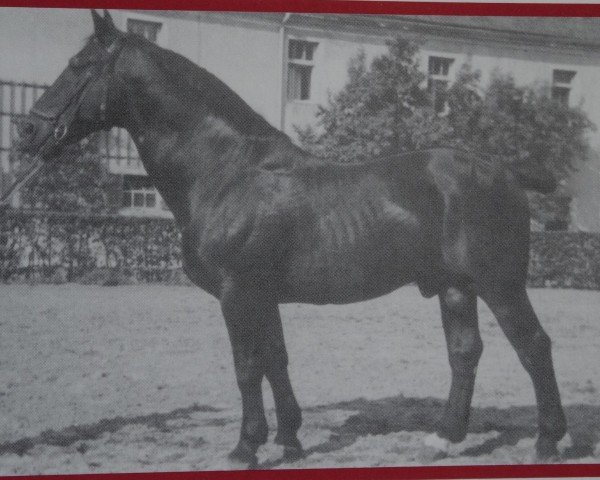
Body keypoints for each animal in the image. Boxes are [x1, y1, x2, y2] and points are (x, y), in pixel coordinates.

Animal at [15, 10, 568, 464]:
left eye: (80, 65)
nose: (27, 132)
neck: (225, 170)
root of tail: (505, 171)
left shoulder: (237, 293)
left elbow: (246, 365)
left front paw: (245, 447)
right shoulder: (262, 295)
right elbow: (275, 360)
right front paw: (289, 439)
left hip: (499, 285)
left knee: (535, 346)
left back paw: (548, 440)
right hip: (455, 287)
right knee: (465, 352)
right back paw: (445, 438)